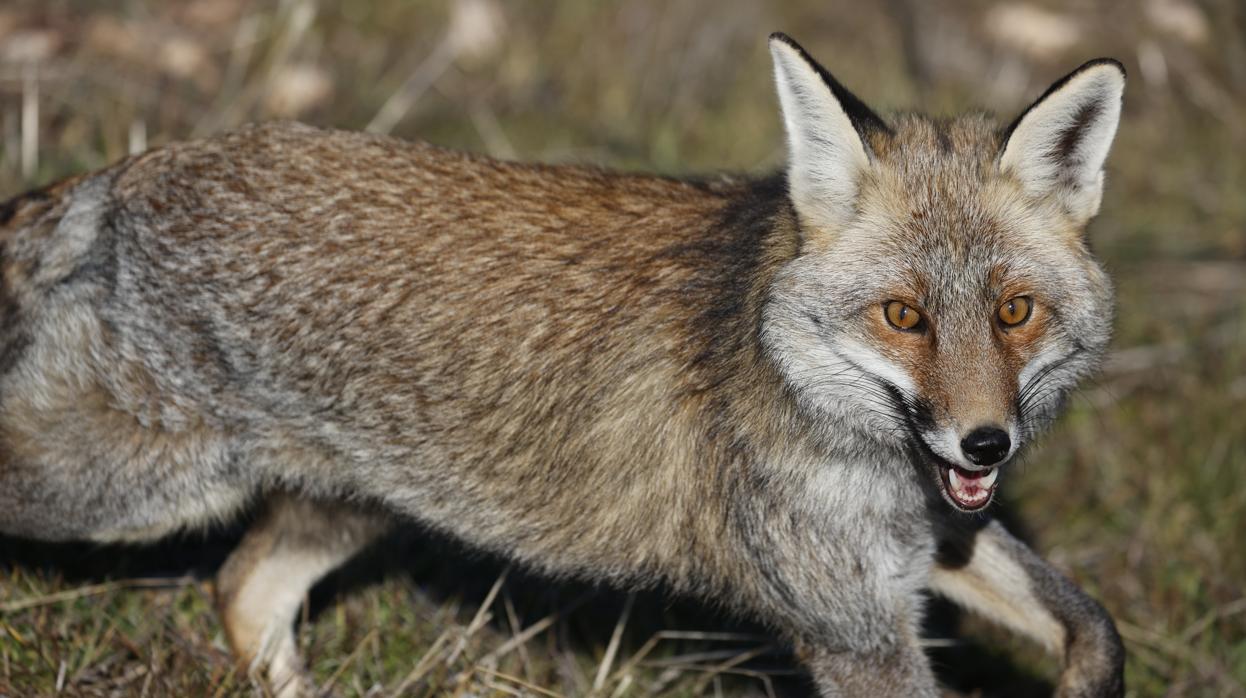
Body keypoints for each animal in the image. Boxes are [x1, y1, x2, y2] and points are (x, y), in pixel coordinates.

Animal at [0, 35, 1126, 698]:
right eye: (903, 316)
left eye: (1013, 311)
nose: (985, 442)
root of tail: (143, 163)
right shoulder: (850, 627)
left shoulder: (929, 545)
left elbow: (1096, 627)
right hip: (120, 489)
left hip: (349, 506)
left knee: (241, 589)